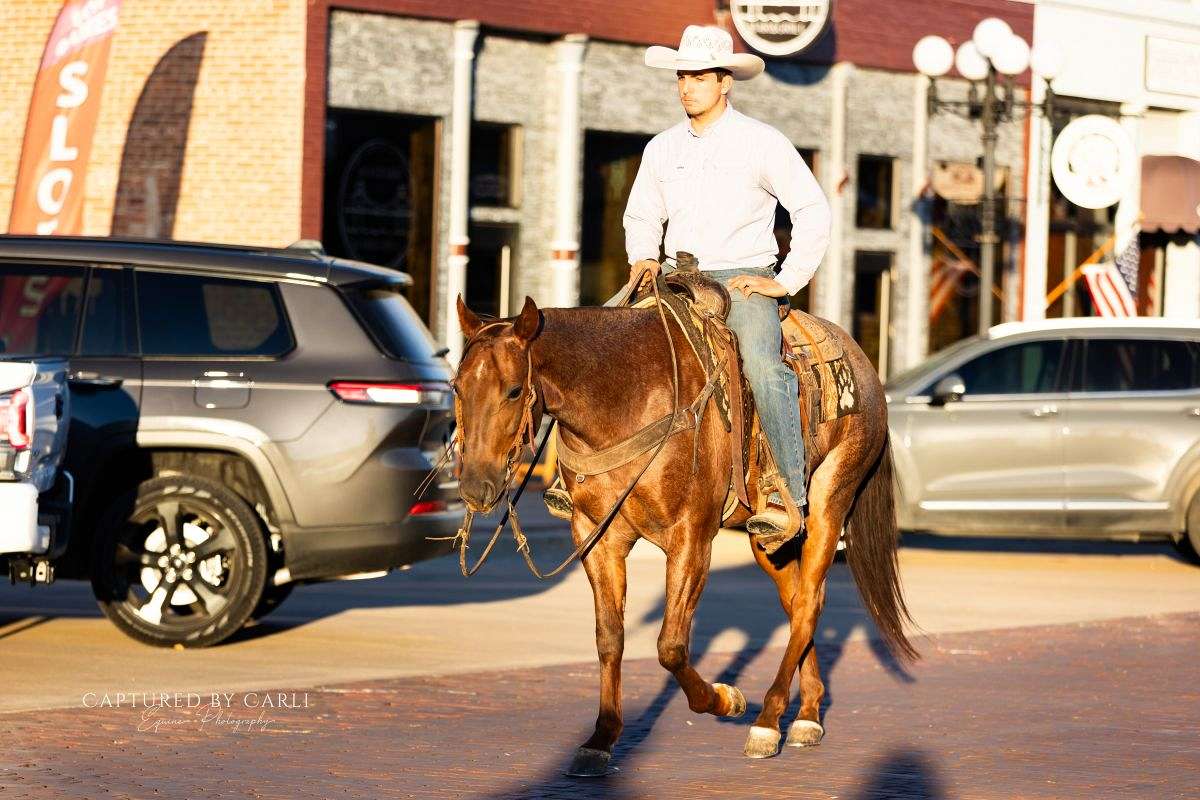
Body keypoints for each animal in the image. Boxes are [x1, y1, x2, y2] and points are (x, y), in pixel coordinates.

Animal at [451, 290, 916, 776]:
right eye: (456, 388)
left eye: (513, 390)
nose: (475, 486)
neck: (627, 399)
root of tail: (863, 362)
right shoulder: (596, 537)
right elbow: (609, 638)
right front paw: (602, 737)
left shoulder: (690, 537)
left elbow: (671, 646)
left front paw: (726, 699)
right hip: (768, 539)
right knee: (800, 603)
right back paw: (807, 715)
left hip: (831, 501)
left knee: (807, 604)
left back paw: (767, 722)